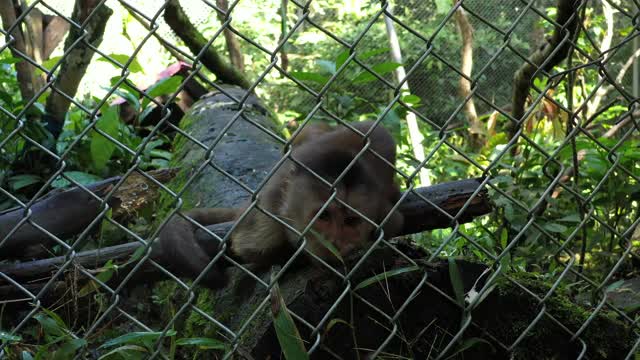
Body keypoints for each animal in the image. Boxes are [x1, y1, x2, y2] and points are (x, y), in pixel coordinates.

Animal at [154, 122, 404, 286]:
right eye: (323, 216)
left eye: (351, 221)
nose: (335, 243)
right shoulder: (270, 212)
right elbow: (250, 250)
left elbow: (377, 132)